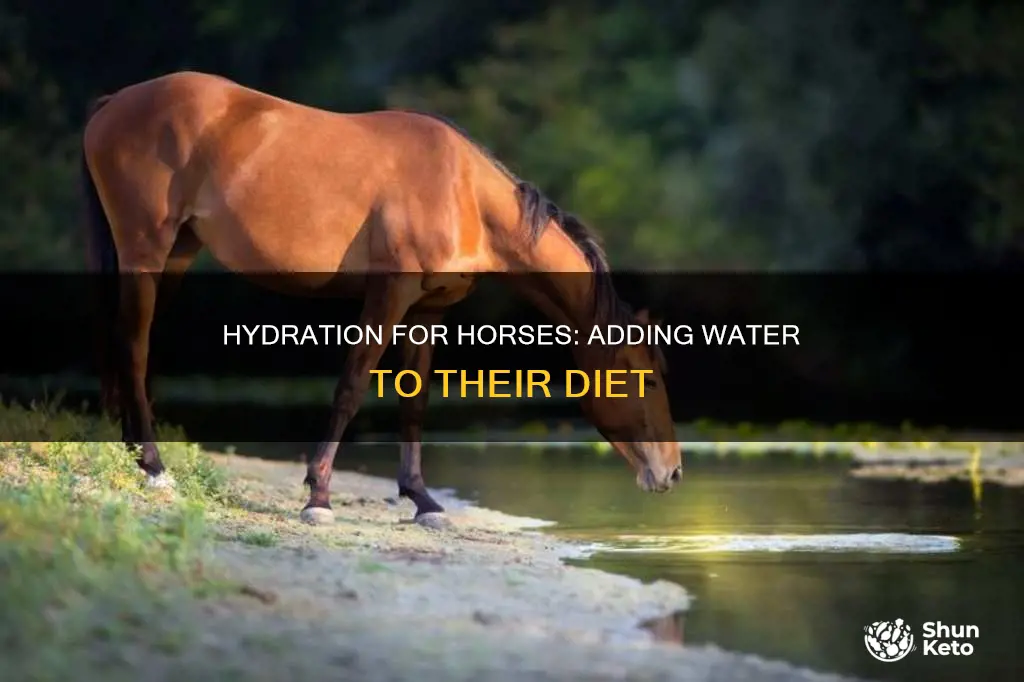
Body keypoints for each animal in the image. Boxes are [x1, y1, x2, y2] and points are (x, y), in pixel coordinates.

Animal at [79, 71, 683, 525]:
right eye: (647, 379)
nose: (672, 472)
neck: (463, 194)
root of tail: (114, 103)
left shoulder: (429, 310)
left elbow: (413, 403)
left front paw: (423, 501)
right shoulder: (389, 295)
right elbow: (351, 388)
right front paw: (318, 496)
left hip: (177, 253)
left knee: (128, 344)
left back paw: (132, 454)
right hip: (146, 247)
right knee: (133, 345)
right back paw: (155, 468)